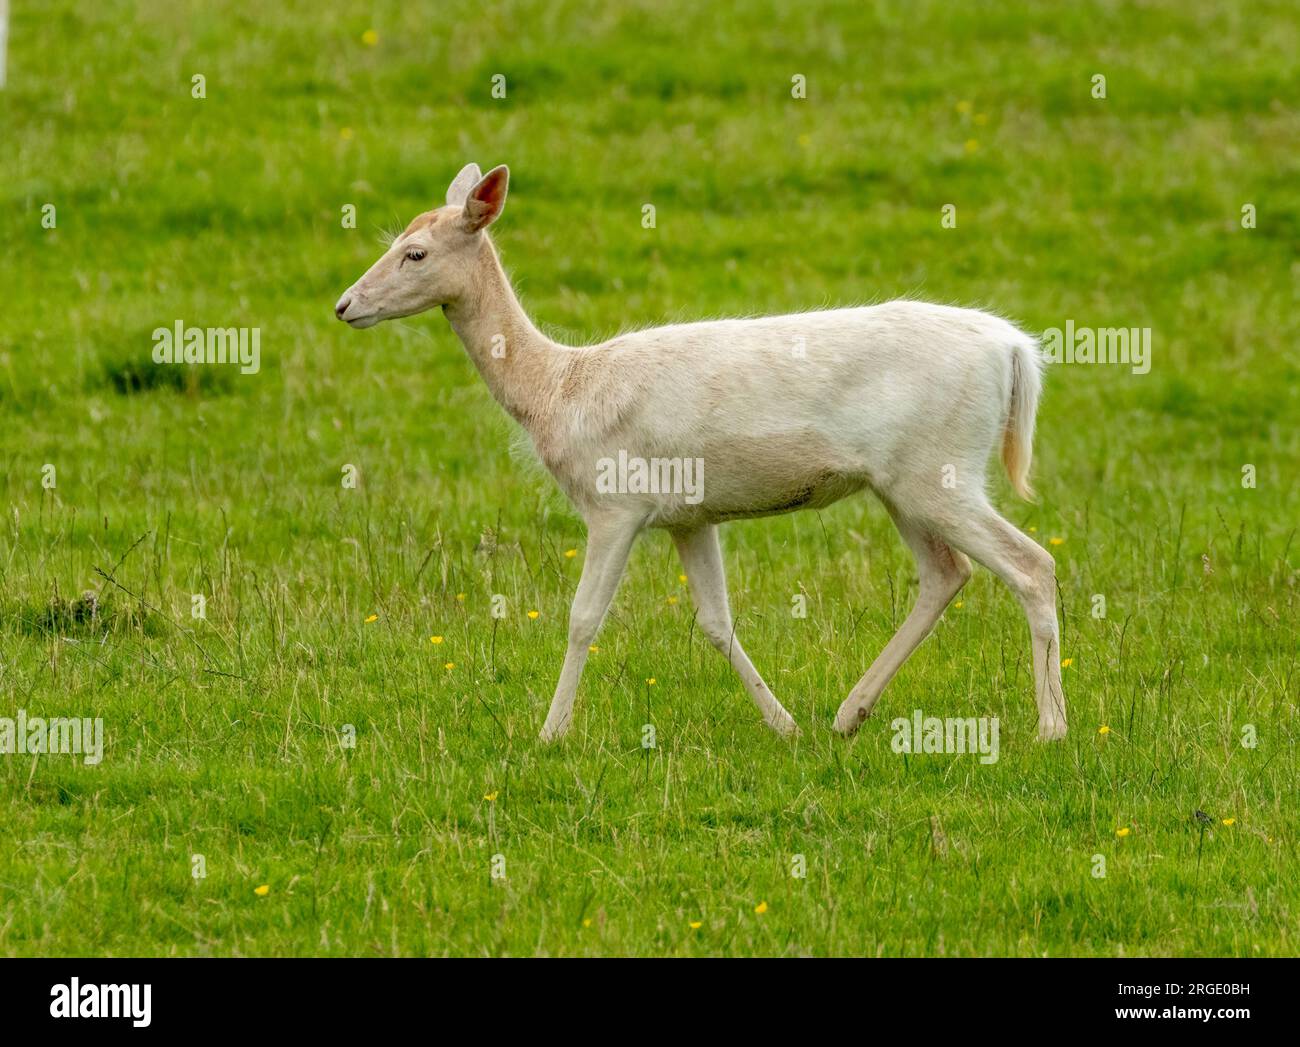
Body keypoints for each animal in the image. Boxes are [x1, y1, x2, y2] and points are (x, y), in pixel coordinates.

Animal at [335, 165, 1066, 743]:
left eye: (416, 253)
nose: (344, 305)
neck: (558, 394)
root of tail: (1015, 350)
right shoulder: (689, 515)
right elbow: (716, 621)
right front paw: (782, 724)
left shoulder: (615, 503)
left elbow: (582, 618)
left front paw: (551, 732)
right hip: (903, 482)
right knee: (946, 573)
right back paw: (847, 713)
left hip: (940, 468)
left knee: (1032, 563)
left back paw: (1052, 727)